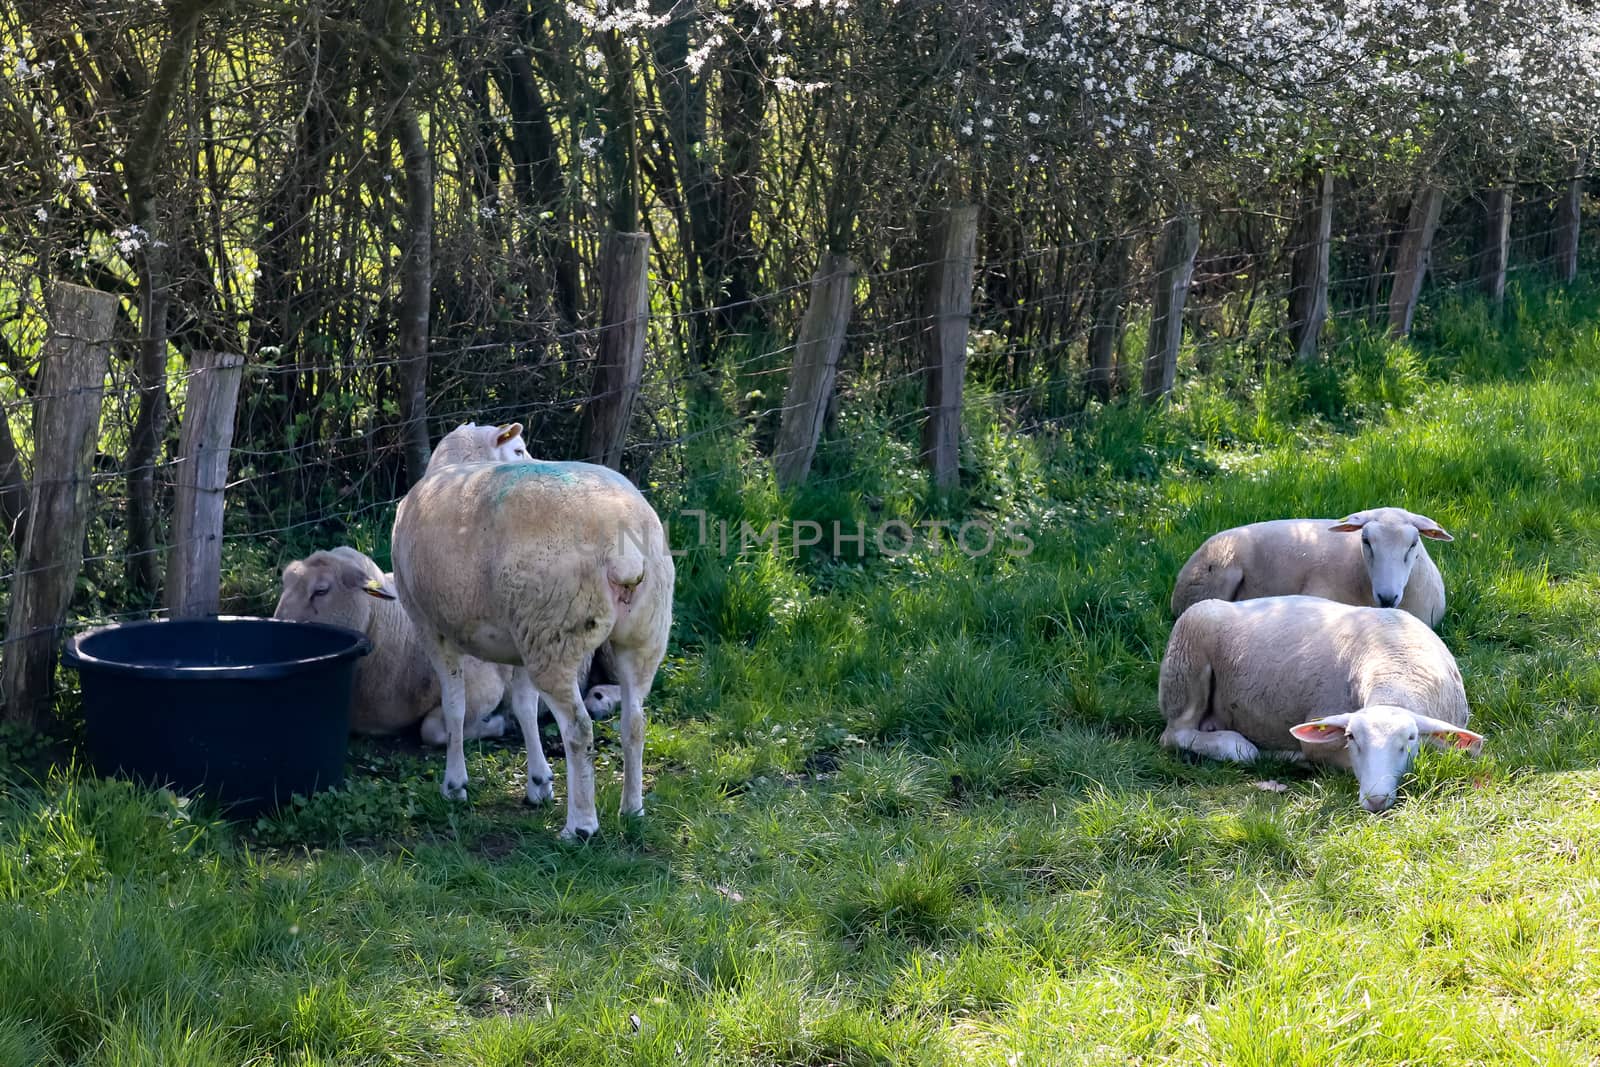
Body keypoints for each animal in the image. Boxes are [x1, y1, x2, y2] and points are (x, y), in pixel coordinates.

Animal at [275, 547, 508, 748]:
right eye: (285, 584)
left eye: (321, 591)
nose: (280, 624)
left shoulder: (483, 686)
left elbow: (431, 729)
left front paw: (497, 723)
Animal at [400, 454, 681, 838]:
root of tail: (625, 556)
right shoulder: (519, 644)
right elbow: (524, 707)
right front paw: (539, 782)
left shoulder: (432, 629)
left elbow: (454, 707)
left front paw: (454, 786)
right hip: (640, 636)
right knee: (634, 721)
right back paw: (632, 810)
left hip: (555, 637)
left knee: (579, 729)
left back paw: (580, 826)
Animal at [1158, 598, 1478, 812]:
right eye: (1351, 737)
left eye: (1410, 739)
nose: (1374, 800)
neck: (1397, 669)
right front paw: (1297, 758)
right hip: (1186, 659)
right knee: (1178, 735)